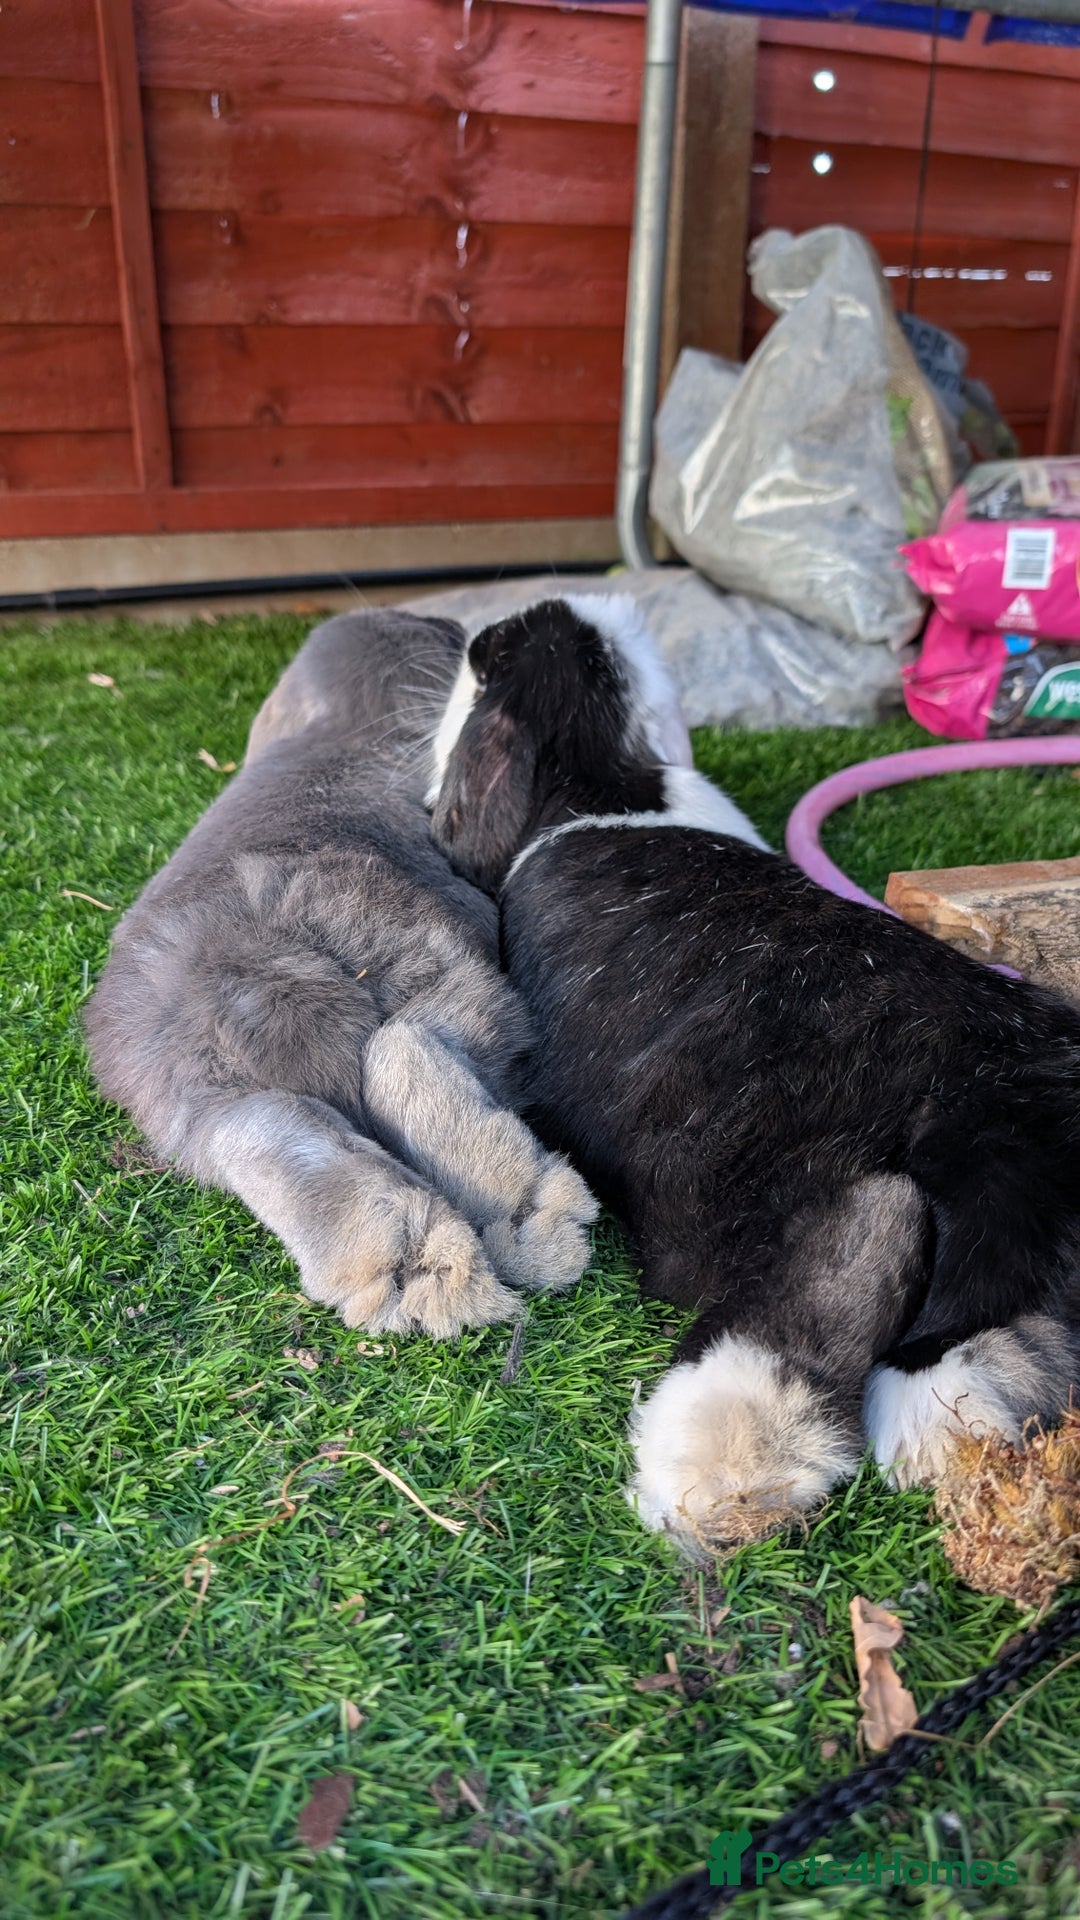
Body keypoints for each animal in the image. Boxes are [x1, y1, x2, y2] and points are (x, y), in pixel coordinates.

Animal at [84, 607, 598, 1339]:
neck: (342, 723)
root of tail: (254, 978)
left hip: (194, 1092)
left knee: (268, 1128)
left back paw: (411, 1265)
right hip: (434, 960)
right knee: (411, 1045)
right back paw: (525, 1220)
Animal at [429, 592, 1080, 1554]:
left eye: (488, 663)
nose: (541, 612)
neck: (603, 780)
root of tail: (1001, 1139)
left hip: (771, 1191)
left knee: (840, 1263)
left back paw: (721, 1480)